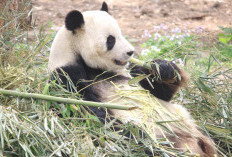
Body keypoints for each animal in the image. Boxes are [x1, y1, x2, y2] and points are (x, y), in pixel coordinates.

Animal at [48, 1, 217, 156]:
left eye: (121, 34)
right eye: (111, 40)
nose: (131, 52)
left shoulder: (131, 73)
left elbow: (159, 92)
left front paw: (163, 68)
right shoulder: (66, 76)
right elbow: (90, 113)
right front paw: (140, 139)